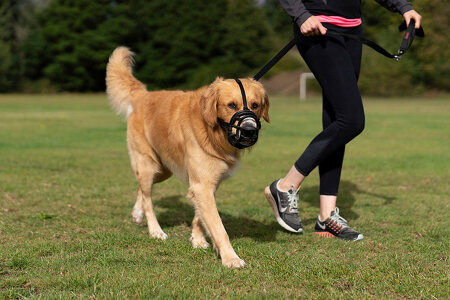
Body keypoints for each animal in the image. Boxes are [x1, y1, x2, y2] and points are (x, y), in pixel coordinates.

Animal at [105, 47, 268, 268]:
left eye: (255, 105)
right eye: (231, 105)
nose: (250, 131)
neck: (213, 132)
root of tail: (143, 95)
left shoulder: (207, 183)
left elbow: (200, 216)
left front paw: (197, 239)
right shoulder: (202, 185)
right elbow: (219, 227)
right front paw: (230, 258)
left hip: (163, 169)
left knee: (141, 189)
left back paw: (137, 213)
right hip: (148, 164)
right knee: (148, 199)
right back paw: (155, 231)